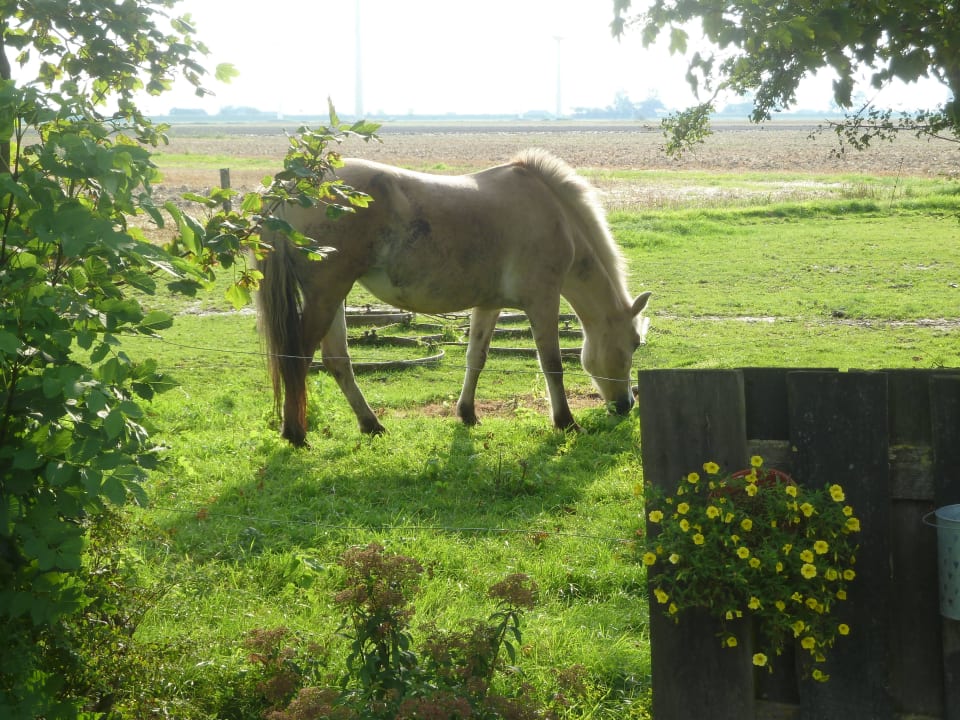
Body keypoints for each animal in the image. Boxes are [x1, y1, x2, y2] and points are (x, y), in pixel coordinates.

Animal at [257, 148, 651, 446]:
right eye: (634, 343)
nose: (626, 404)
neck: (555, 214)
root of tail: (293, 186)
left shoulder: (489, 304)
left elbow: (476, 358)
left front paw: (468, 414)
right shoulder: (543, 301)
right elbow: (551, 363)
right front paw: (566, 422)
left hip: (333, 295)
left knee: (337, 360)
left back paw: (371, 425)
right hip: (326, 294)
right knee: (298, 358)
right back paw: (295, 434)